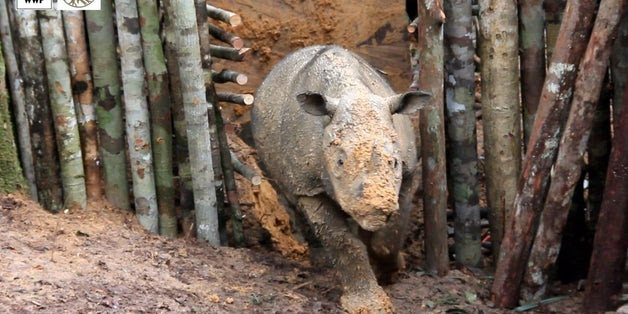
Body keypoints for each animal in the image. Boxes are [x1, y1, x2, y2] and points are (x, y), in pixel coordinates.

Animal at [253, 45, 430, 312]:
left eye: (395, 163)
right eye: (339, 162)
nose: (374, 211)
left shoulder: (408, 173)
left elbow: (391, 234)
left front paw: (392, 270)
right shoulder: (309, 185)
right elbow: (341, 240)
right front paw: (368, 303)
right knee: (289, 195)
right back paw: (319, 260)